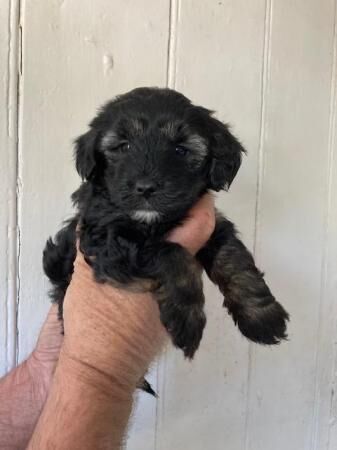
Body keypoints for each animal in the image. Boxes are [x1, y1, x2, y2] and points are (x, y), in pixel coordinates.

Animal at [43, 86, 288, 370]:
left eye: (180, 150)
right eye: (124, 146)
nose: (146, 187)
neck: (152, 220)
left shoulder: (213, 227)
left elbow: (235, 258)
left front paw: (262, 317)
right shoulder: (109, 242)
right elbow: (172, 254)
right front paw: (188, 318)